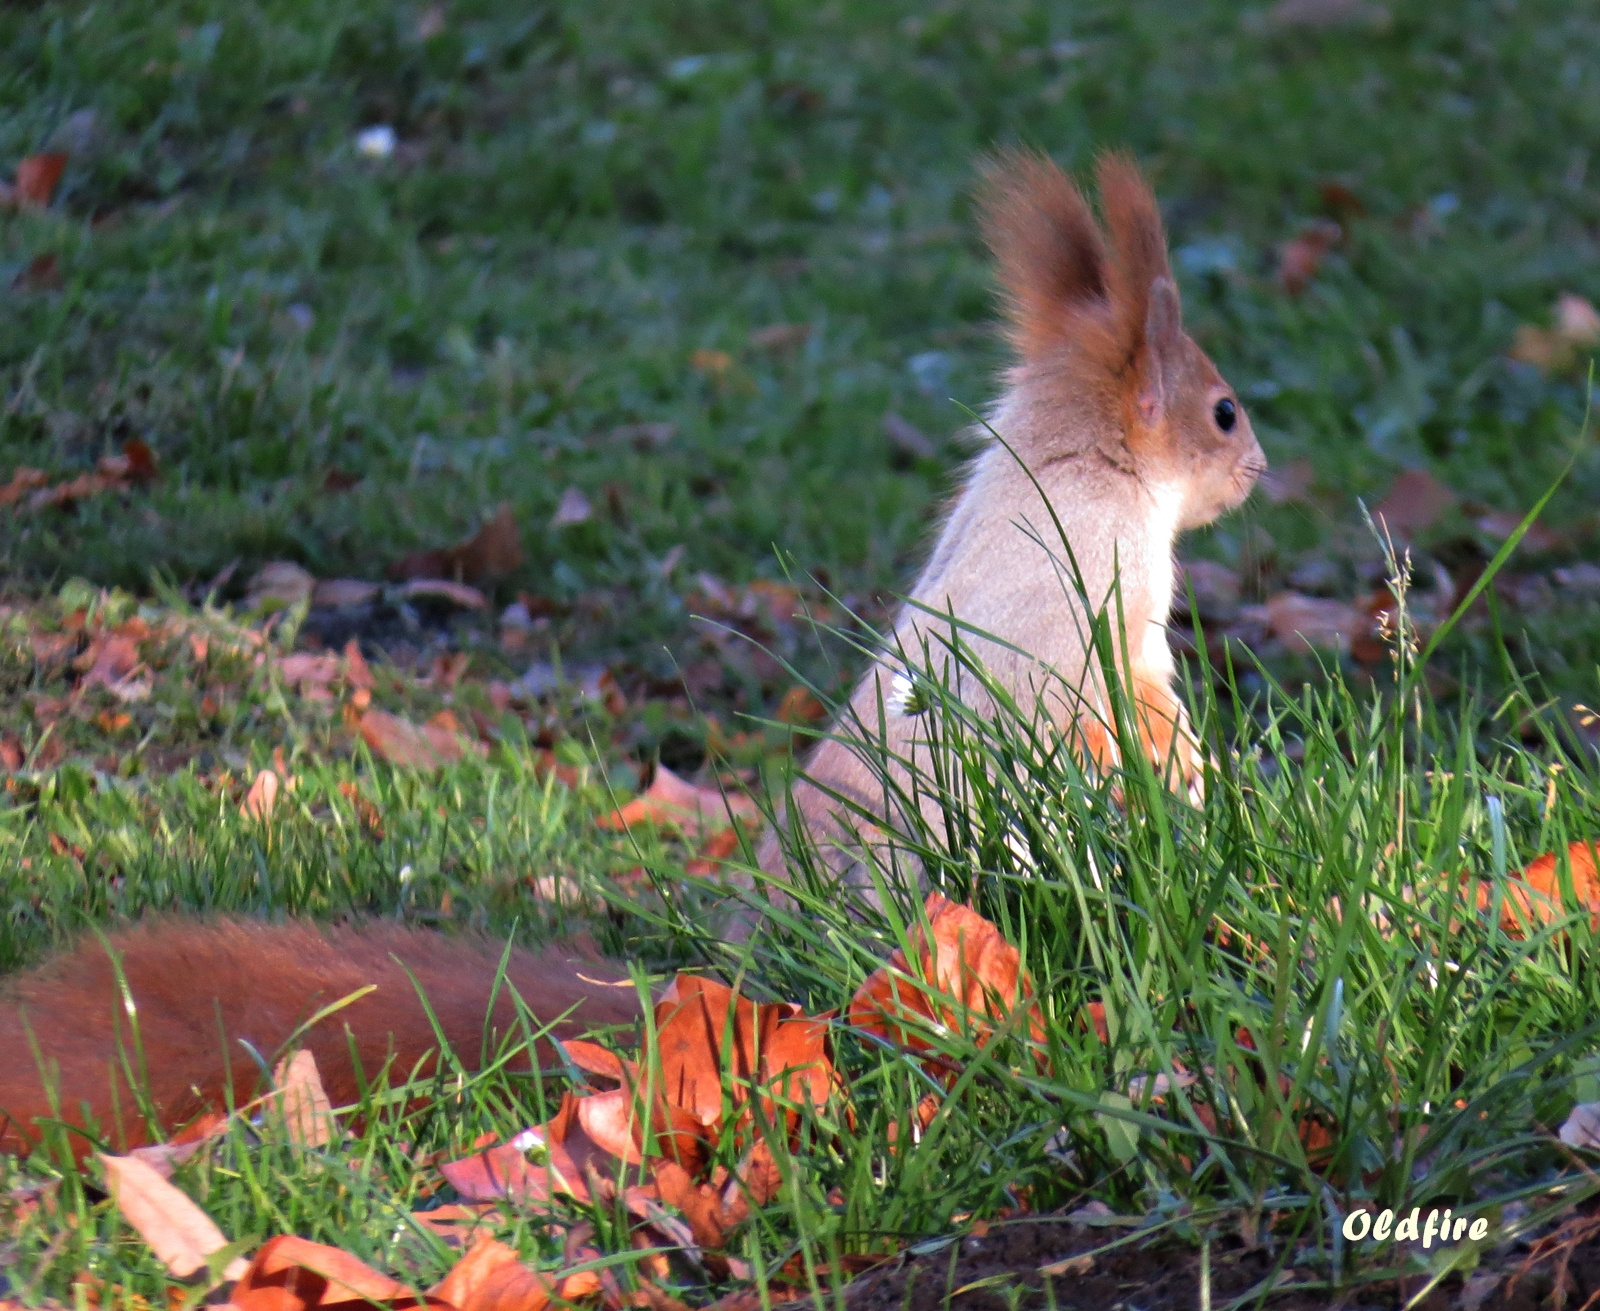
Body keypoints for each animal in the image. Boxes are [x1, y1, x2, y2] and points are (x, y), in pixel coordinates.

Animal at [0, 151, 1260, 1158]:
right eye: (1224, 411)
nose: (1256, 471)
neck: (1066, 467)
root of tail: (763, 1002)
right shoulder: (1096, 616)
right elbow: (1133, 718)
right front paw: (1193, 780)